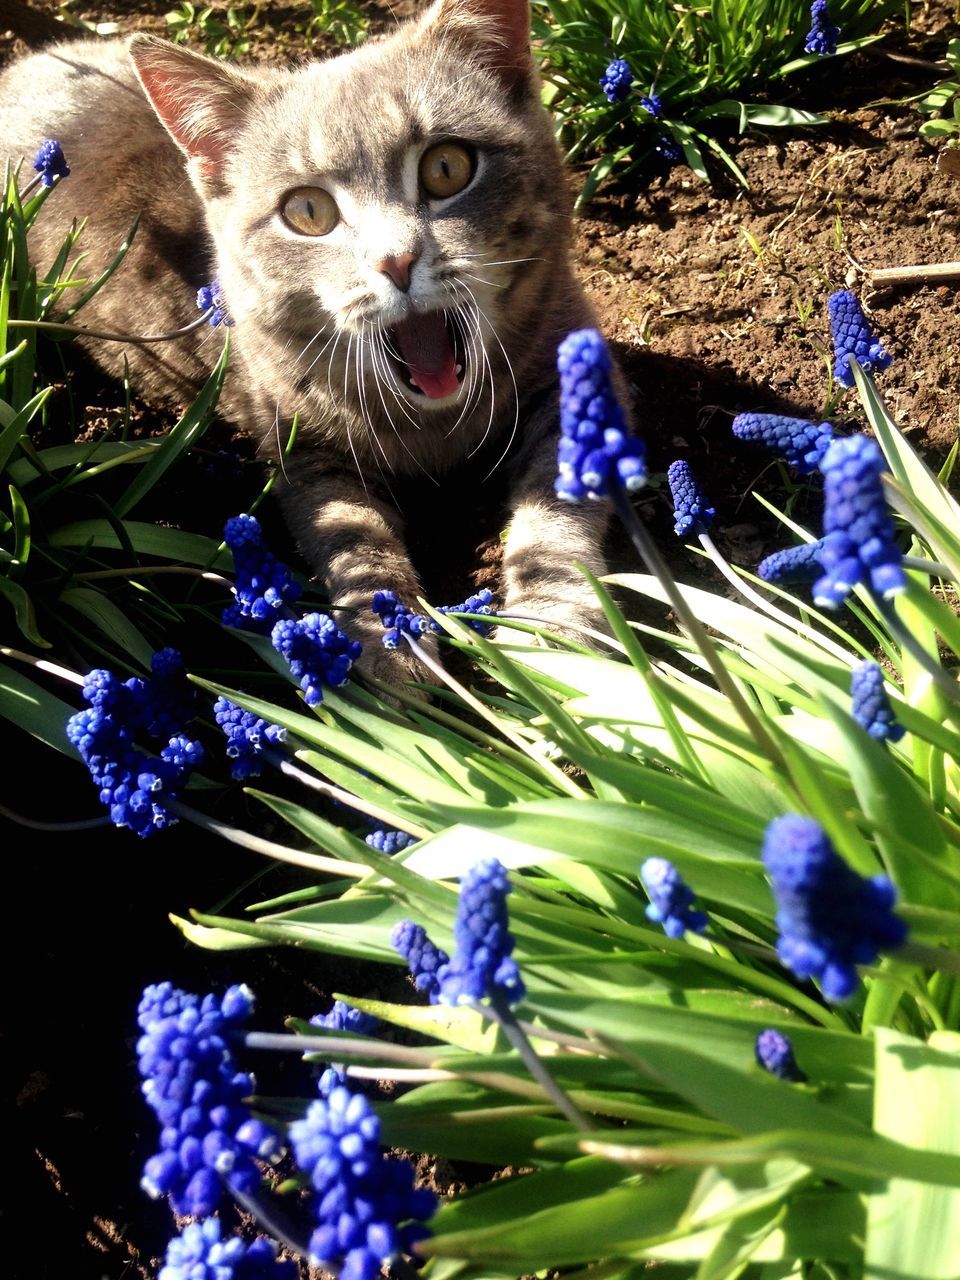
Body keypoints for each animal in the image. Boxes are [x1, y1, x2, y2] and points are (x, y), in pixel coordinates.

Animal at [0, 0, 619, 680]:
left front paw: (557, 635)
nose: (396, 260)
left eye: (447, 167)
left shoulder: (572, 372)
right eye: (309, 212)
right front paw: (384, 643)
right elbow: (351, 537)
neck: (436, 426)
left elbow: (560, 504)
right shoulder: (303, 444)